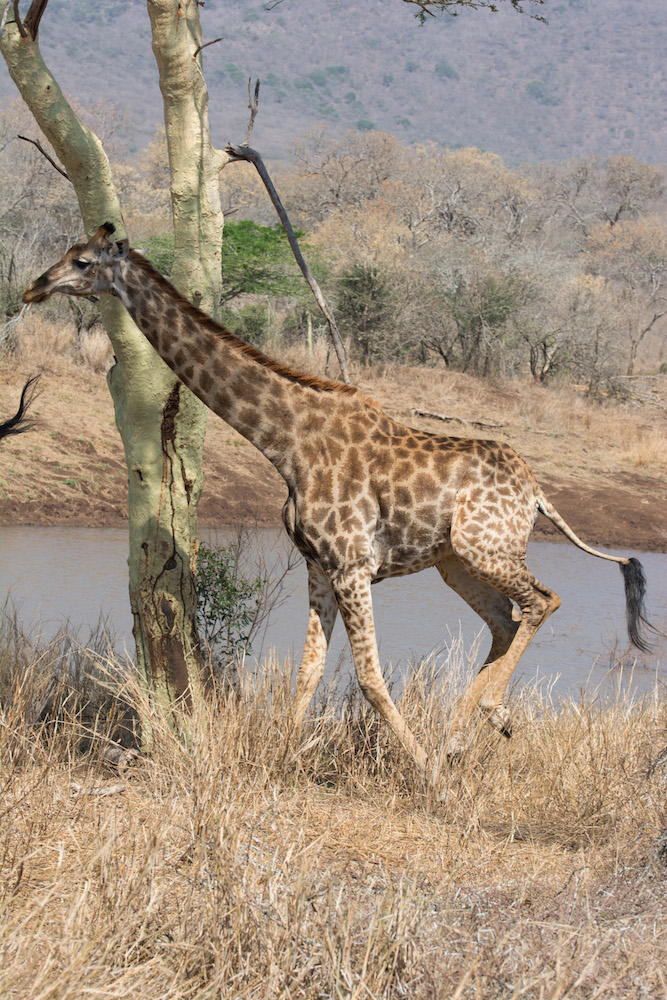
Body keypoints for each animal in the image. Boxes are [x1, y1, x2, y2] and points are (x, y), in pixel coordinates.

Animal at [22, 224, 655, 782]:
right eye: (66, 253)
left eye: (82, 261)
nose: (32, 288)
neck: (285, 442)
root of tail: (535, 489)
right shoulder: (318, 565)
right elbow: (308, 671)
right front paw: (277, 761)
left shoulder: (353, 564)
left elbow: (370, 676)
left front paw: (424, 773)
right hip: (454, 562)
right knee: (507, 618)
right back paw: (458, 736)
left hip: (485, 547)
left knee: (543, 600)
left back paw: (481, 722)